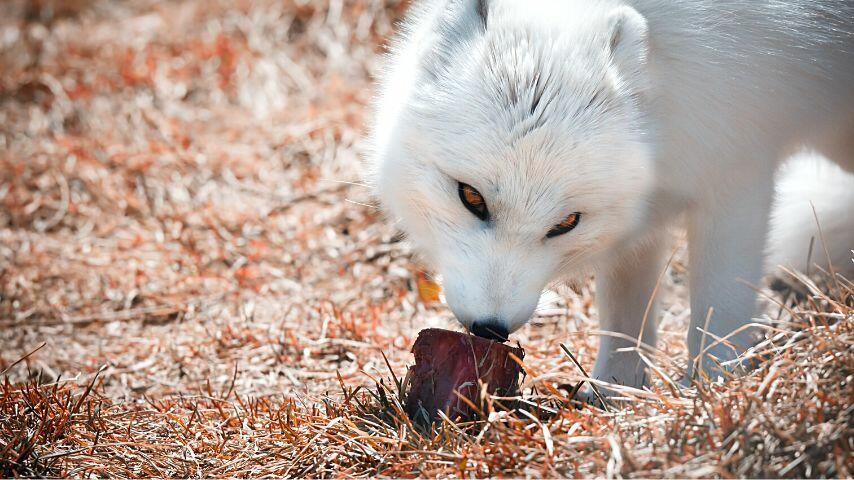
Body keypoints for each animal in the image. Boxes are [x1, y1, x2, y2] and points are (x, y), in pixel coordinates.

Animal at [372, 0, 854, 390]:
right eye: (471, 197)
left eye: (565, 224)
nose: (490, 330)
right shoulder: (642, 210)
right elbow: (626, 313)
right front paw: (613, 391)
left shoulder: (737, 173)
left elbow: (720, 311)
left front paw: (709, 391)